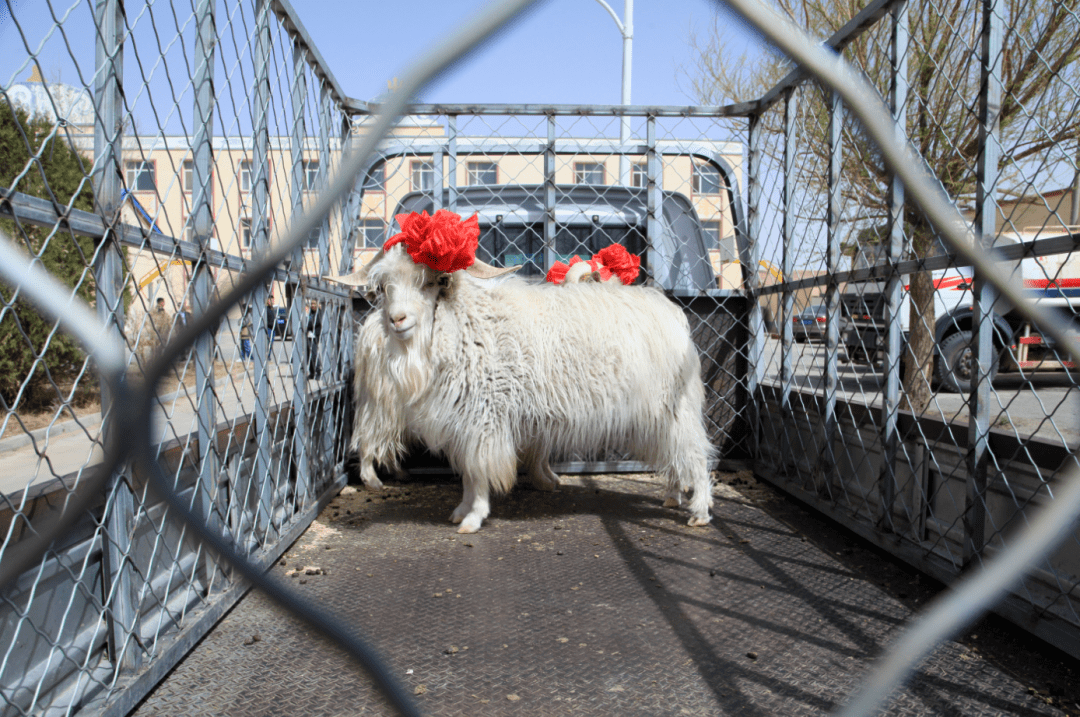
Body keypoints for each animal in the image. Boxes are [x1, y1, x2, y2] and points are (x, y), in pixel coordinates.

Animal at [347, 246, 717, 531]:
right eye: (385, 287)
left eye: (431, 281)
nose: (397, 320)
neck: (466, 324)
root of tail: (673, 316)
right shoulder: (465, 423)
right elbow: (467, 474)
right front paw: (461, 511)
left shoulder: (485, 420)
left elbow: (478, 473)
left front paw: (474, 518)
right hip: (657, 417)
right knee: (674, 455)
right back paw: (672, 497)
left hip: (676, 409)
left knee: (695, 454)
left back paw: (699, 511)